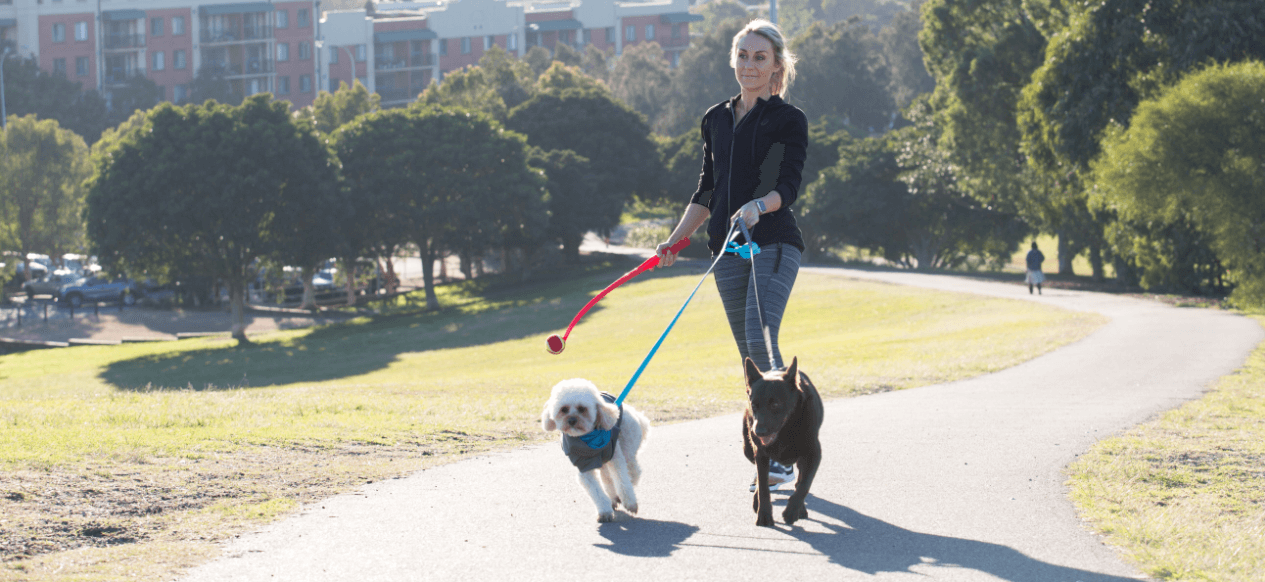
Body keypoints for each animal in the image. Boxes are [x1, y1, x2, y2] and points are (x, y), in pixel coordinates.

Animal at [541, 377, 652, 523]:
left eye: (582, 409)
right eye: (564, 409)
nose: (572, 420)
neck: (588, 440)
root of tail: (635, 413)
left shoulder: (615, 459)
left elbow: (622, 480)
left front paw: (630, 503)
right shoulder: (584, 468)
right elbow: (596, 491)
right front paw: (605, 511)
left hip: (627, 446)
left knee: (633, 470)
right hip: (606, 463)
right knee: (608, 479)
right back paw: (613, 498)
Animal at [743, 354, 824, 526]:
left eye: (775, 404)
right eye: (754, 405)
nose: (757, 432)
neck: (786, 430)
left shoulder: (814, 454)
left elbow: (804, 484)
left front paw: (793, 510)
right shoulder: (760, 454)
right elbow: (763, 486)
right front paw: (764, 514)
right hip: (748, 449)